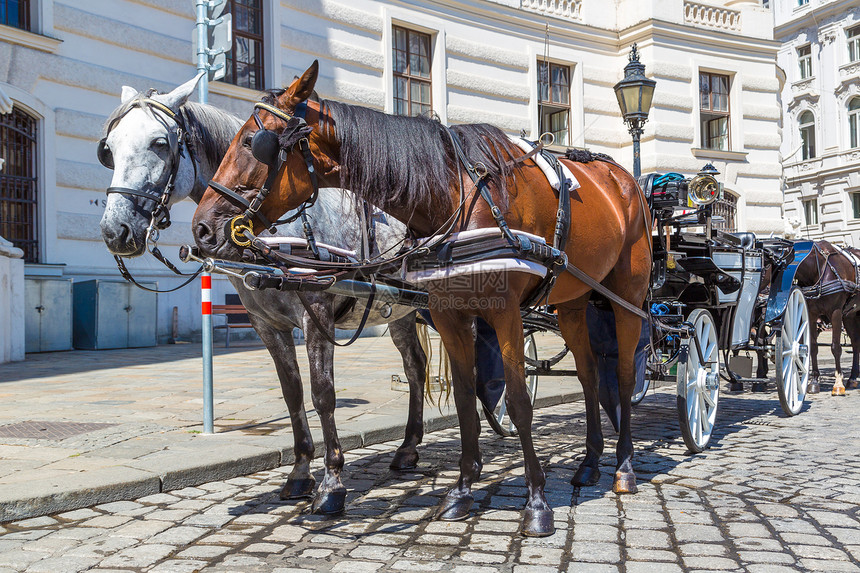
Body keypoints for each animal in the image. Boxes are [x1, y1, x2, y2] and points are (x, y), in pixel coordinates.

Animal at [193, 62, 652, 536]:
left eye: (253, 142)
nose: (202, 228)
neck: (457, 195)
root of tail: (626, 178)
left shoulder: (503, 313)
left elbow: (519, 402)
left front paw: (537, 502)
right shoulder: (448, 314)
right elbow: (465, 398)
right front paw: (462, 490)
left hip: (627, 295)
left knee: (622, 374)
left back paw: (624, 467)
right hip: (573, 302)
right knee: (588, 374)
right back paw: (590, 462)